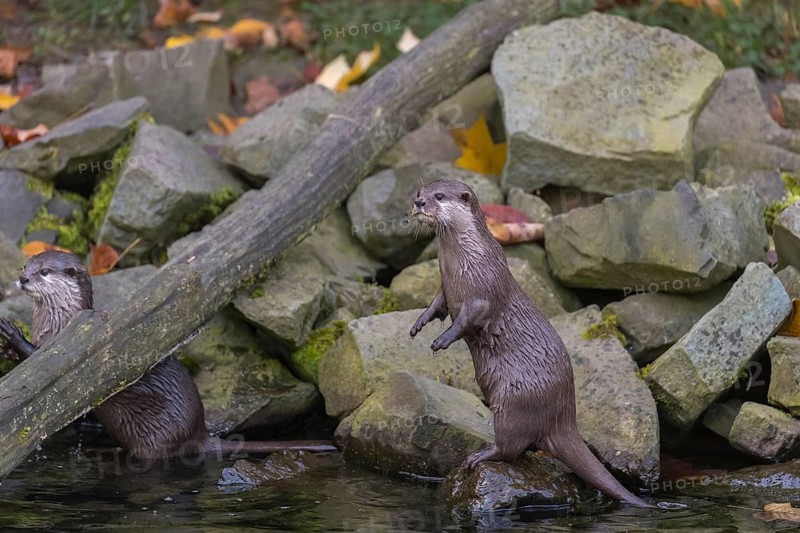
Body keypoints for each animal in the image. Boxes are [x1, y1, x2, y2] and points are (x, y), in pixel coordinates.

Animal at [0, 251, 335, 459]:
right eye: (26, 266)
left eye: (44, 272)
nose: (23, 279)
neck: (55, 323)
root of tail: (199, 433)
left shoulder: (64, 345)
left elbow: (39, 362)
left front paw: (11, 332)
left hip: (158, 432)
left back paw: (106, 451)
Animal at [408, 180, 651, 507]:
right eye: (420, 191)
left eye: (439, 196)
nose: (419, 203)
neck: (463, 262)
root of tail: (563, 416)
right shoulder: (446, 289)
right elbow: (437, 306)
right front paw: (419, 324)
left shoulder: (482, 292)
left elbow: (467, 319)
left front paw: (442, 340)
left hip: (514, 402)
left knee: (509, 447)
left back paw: (479, 455)